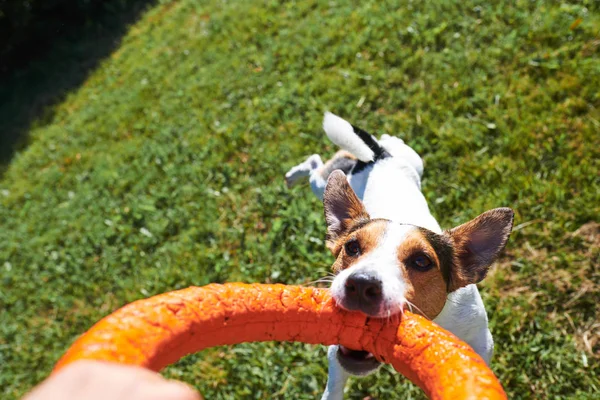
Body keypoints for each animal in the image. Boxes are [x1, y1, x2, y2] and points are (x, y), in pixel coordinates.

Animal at [284, 112, 512, 400]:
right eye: (352, 247)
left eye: (422, 261)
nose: (361, 284)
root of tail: (378, 158)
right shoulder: (338, 350)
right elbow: (334, 380)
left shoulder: (480, 339)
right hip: (324, 183)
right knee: (317, 164)